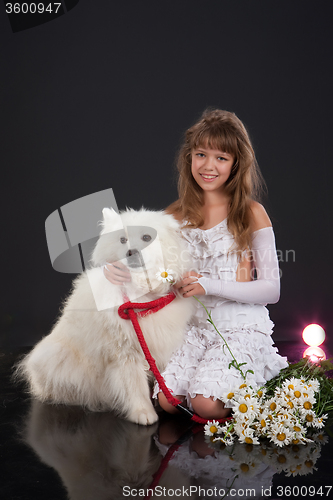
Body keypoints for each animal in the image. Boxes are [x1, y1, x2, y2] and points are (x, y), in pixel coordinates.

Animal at [17, 209, 195, 424]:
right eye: (122, 239)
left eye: (146, 237)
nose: (131, 252)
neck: (142, 294)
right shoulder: (125, 351)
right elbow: (135, 386)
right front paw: (143, 413)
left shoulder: (159, 344)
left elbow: (159, 380)